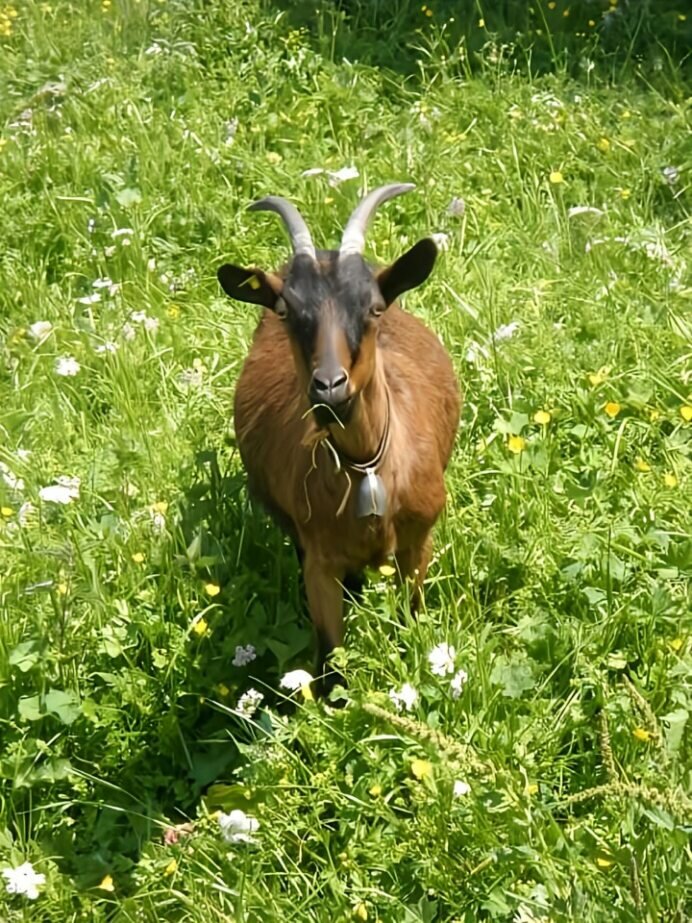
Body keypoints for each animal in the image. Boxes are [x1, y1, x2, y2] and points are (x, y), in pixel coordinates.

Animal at [219, 186, 462, 692]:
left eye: (373, 307)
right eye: (287, 311)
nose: (329, 386)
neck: (367, 466)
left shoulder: (419, 542)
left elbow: (412, 620)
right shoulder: (319, 561)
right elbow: (331, 663)